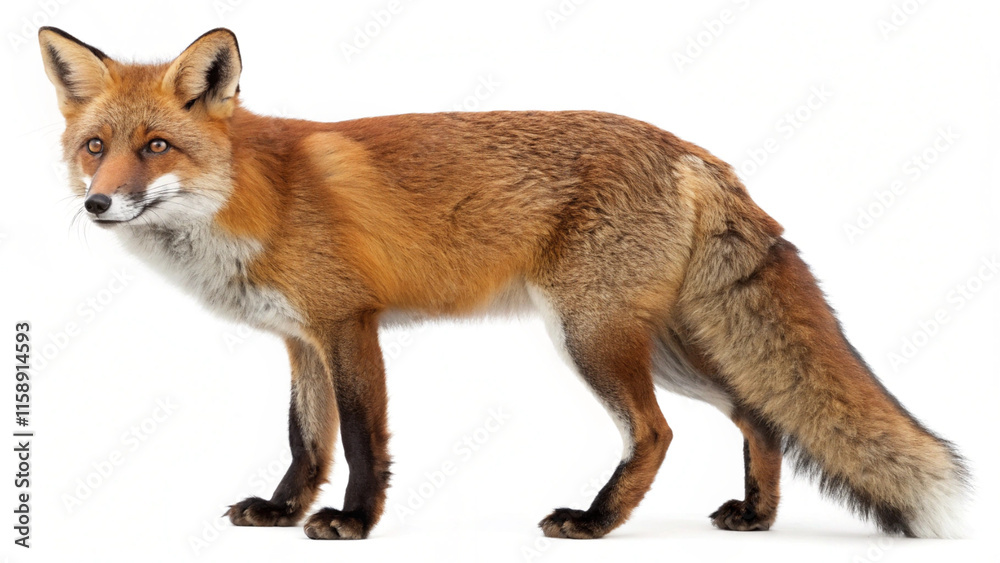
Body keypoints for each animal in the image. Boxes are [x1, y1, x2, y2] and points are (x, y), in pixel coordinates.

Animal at [39, 26, 969, 540]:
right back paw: (757, 516)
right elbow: (307, 441)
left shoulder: (349, 324)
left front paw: (352, 523)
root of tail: (692, 151)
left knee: (657, 432)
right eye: (97, 147)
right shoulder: (300, 338)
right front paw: (281, 510)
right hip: (660, 345)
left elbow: (363, 441)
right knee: (759, 414)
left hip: (591, 337)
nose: (97, 202)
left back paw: (595, 522)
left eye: (156, 146)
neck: (249, 197)